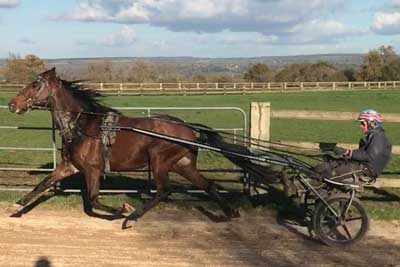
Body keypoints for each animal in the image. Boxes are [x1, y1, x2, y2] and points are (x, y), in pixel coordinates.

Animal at [7, 68, 239, 227]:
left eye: (35, 85)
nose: (12, 104)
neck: (84, 126)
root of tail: (189, 129)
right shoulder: (69, 166)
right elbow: (42, 184)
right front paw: (16, 205)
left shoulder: (93, 169)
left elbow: (94, 200)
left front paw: (123, 209)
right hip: (183, 164)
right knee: (208, 185)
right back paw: (229, 213)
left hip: (159, 161)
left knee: (164, 191)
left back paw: (132, 218)